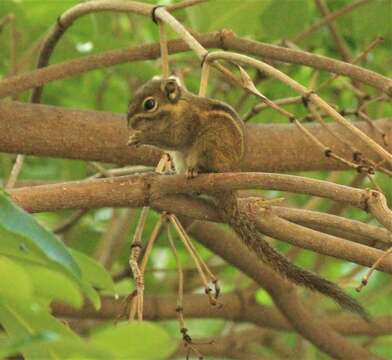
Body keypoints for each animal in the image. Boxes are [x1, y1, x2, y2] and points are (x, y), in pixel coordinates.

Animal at [127, 77, 370, 320]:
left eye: (149, 104)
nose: (129, 122)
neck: (175, 108)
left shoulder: (185, 125)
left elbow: (173, 138)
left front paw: (141, 137)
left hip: (210, 143)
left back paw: (198, 171)